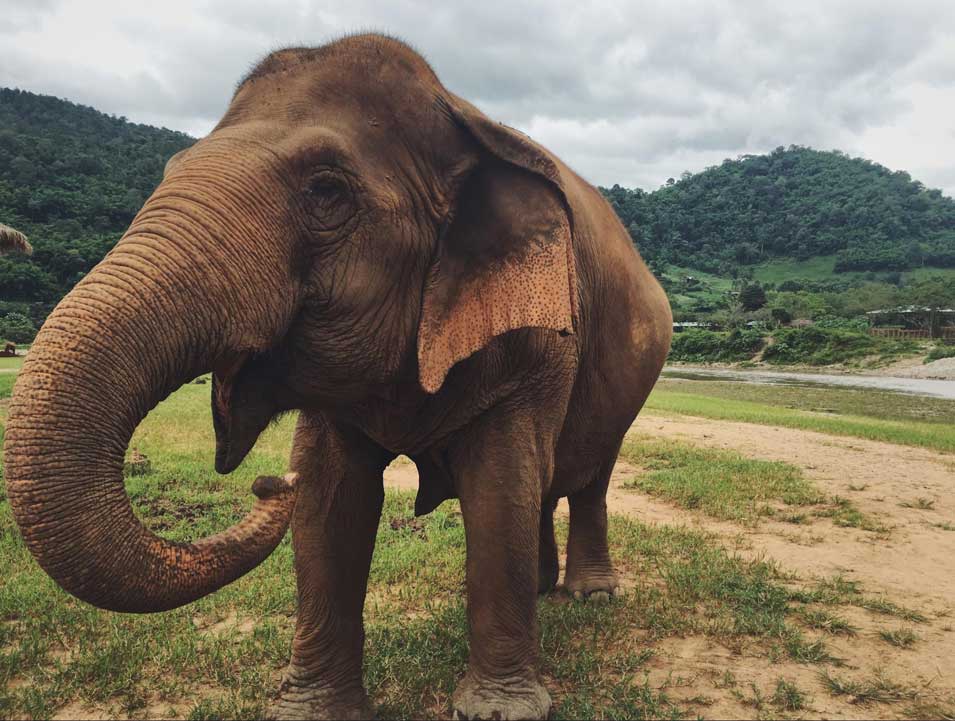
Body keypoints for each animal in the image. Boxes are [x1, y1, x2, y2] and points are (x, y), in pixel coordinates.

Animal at [1, 33, 672, 720]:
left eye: (327, 192)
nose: (269, 483)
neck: (458, 112)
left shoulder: (535, 343)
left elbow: (498, 483)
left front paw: (496, 711)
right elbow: (330, 498)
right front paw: (315, 710)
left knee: (588, 479)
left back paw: (590, 597)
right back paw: (541, 590)